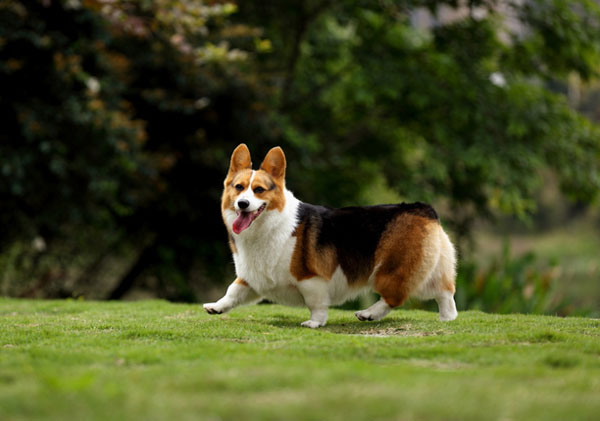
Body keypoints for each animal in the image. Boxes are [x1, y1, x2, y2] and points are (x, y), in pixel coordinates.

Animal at [204, 144, 458, 328]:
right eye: (238, 187)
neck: (267, 226)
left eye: (258, 190)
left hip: (391, 270)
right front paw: (216, 307)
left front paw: (314, 323)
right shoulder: (251, 278)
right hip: (430, 269)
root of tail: (423, 208)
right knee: (445, 293)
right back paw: (447, 319)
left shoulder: (311, 279)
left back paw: (368, 314)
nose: (242, 204)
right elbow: (233, 291)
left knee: (394, 298)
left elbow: (316, 304)